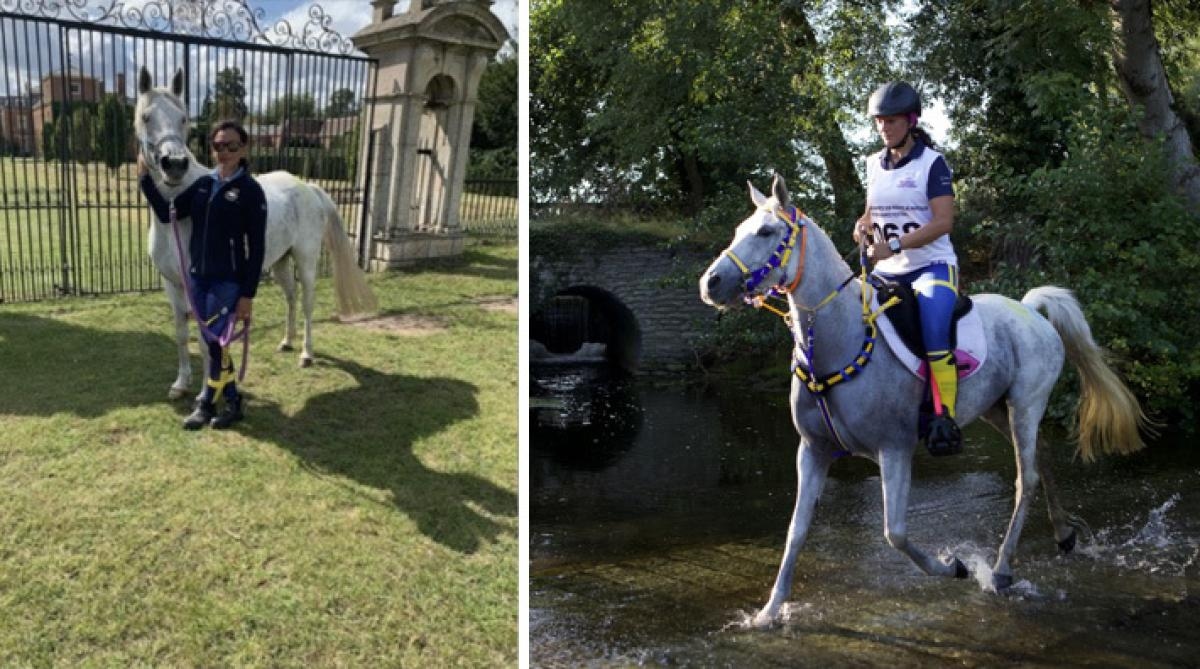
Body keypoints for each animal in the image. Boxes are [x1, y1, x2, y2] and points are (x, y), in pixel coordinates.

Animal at [135, 68, 374, 398]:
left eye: (183, 118)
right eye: (146, 117)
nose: (175, 165)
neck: (175, 214)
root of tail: (307, 187)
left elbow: (206, 339)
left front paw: (204, 392)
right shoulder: (172, 284)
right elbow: (182, 334)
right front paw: (181, 384)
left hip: (306, 261)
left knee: (307, 303)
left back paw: (306, 354)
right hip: (280, 263)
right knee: (291, 297)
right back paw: (286, 342)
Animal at [700, 173, 1147, 628]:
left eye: (765, 232)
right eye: (738, 230)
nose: (710, 284)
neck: (839, 340)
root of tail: (1030, 310)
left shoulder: (894, 450)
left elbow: (894, 533)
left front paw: (955, 566)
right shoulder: (812, 450)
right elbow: (796, 531)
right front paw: (769, 611)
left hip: (1026, 406)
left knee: (1027, 479)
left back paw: (1001, 570)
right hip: (996, 411)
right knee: (1043, 461)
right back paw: (1063, 535)